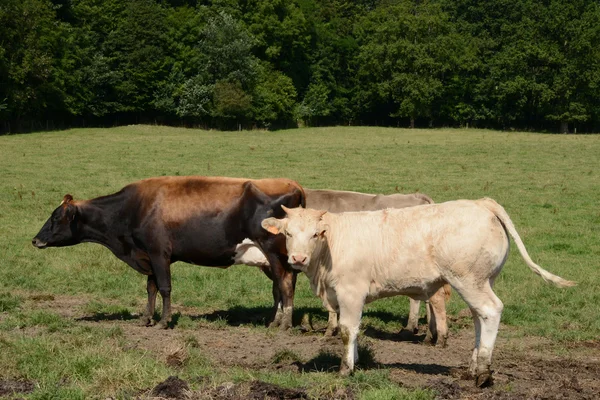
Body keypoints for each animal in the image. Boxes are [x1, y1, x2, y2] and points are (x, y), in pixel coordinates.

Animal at [31, 177, 304, 330]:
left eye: (55, 217)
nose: (35, 240)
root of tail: (292, 185)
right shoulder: (147, 256)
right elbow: (150, 288)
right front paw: (146, 318)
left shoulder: (158, 252)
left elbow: (164, 287)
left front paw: (163, 321)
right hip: (274, 258)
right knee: (281, 287)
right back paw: (275, 320)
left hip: (273, 252)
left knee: (285, 284)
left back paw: (284, 324)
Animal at [264, 199, 576, 388]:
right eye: (288, 234)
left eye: (316, 234)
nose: (298, 259)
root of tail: (481, 202)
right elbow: (354, 331)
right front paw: (355, 362)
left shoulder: (351, 292)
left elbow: (346, 330)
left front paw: (345, 369)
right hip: (482, 280)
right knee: (479, 317)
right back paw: (472, 368)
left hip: (469, 280)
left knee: (490, 311)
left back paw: (484, 373)